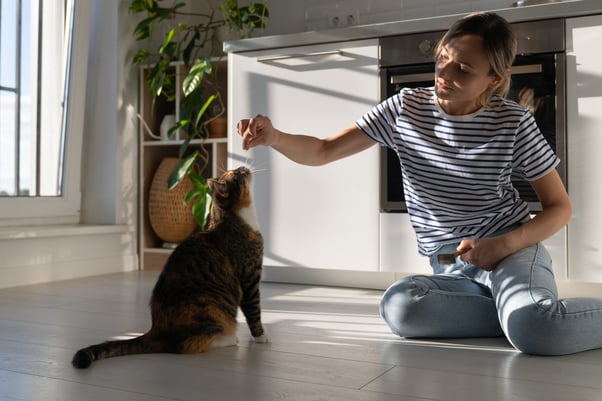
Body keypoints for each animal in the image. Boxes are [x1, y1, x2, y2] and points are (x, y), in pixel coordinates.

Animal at [71, 166, 266, 368]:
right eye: (236, 174)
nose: (243, 167)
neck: (233, 218)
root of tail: (156, 331)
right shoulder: (250, 277)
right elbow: (254, 310)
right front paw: (261, 338)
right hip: (211, 309)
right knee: (188, 345)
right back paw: (229, 339)